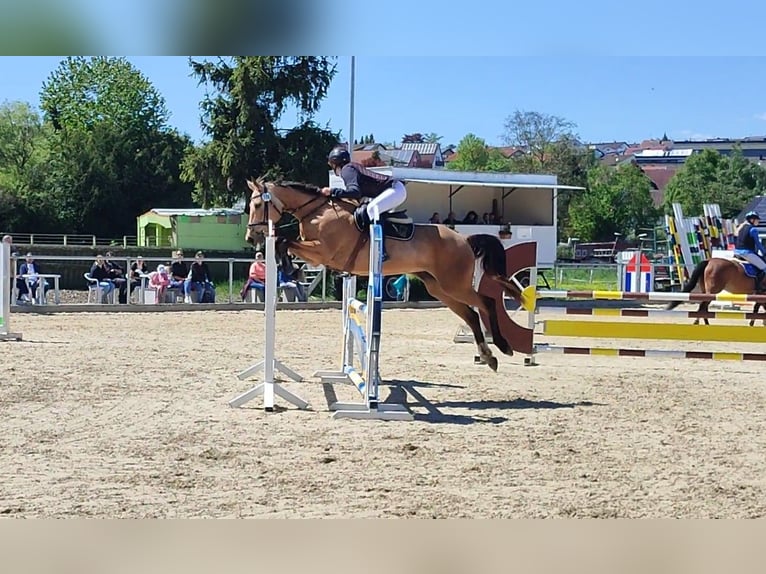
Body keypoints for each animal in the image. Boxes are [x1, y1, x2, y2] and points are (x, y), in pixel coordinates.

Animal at [243, 177, 534, 371]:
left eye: (256, 205)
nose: (251, 237)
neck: (317, 211)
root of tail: (464, 239)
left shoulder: (323, 252)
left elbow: (284, 241)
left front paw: (288, 267)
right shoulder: (315, 253)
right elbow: (284, 242)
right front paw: (288, 267)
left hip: (455, 285)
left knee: (486, 302)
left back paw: (503, 346)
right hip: (439, 288)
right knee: (472, 316)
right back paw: (488, 356)